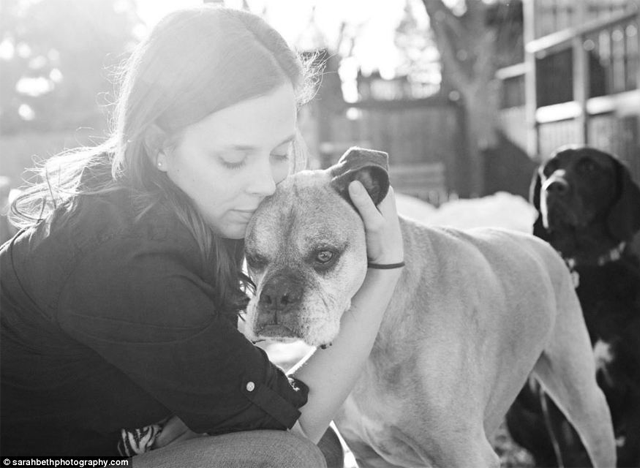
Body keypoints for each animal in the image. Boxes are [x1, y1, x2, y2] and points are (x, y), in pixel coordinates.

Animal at [242, 148, 616, 466]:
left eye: (324, 255)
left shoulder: (468, 455)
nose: (276, 295)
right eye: (254, 257)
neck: (377, 330)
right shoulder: (371, 458)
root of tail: (538, 243)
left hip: (585, 400)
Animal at [508, 146, 636, 468]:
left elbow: (631, 446)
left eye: (589, 168)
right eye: (548, 169)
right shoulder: (555, 395)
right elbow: (569, 448)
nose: (553, 187)